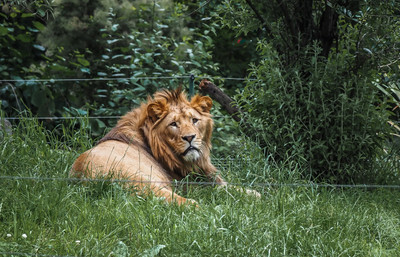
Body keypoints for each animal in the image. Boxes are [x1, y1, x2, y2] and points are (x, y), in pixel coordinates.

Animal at [71, 87, 260, 204]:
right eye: (173, 124)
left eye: (194, 120)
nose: (189, 137)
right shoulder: (192, 183)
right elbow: (228, 190)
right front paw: (255, 195)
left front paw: (255, 193)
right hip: (145, 180)